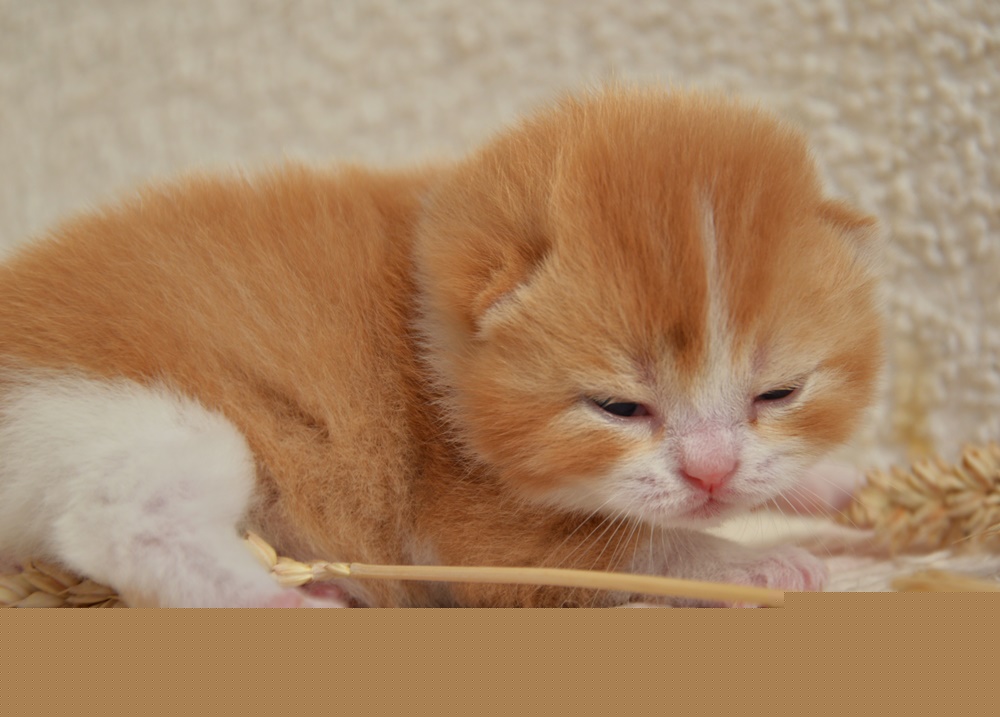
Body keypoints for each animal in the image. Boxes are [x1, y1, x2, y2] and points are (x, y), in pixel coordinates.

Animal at [0, 86, 883, 607]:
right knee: (125, 516)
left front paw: (829, 483)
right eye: (618, 406)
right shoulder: (465, 527)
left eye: (779, 393)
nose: (711, 471)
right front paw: (748, 562)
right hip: (131, 416)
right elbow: (639, 548)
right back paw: (281, 598)